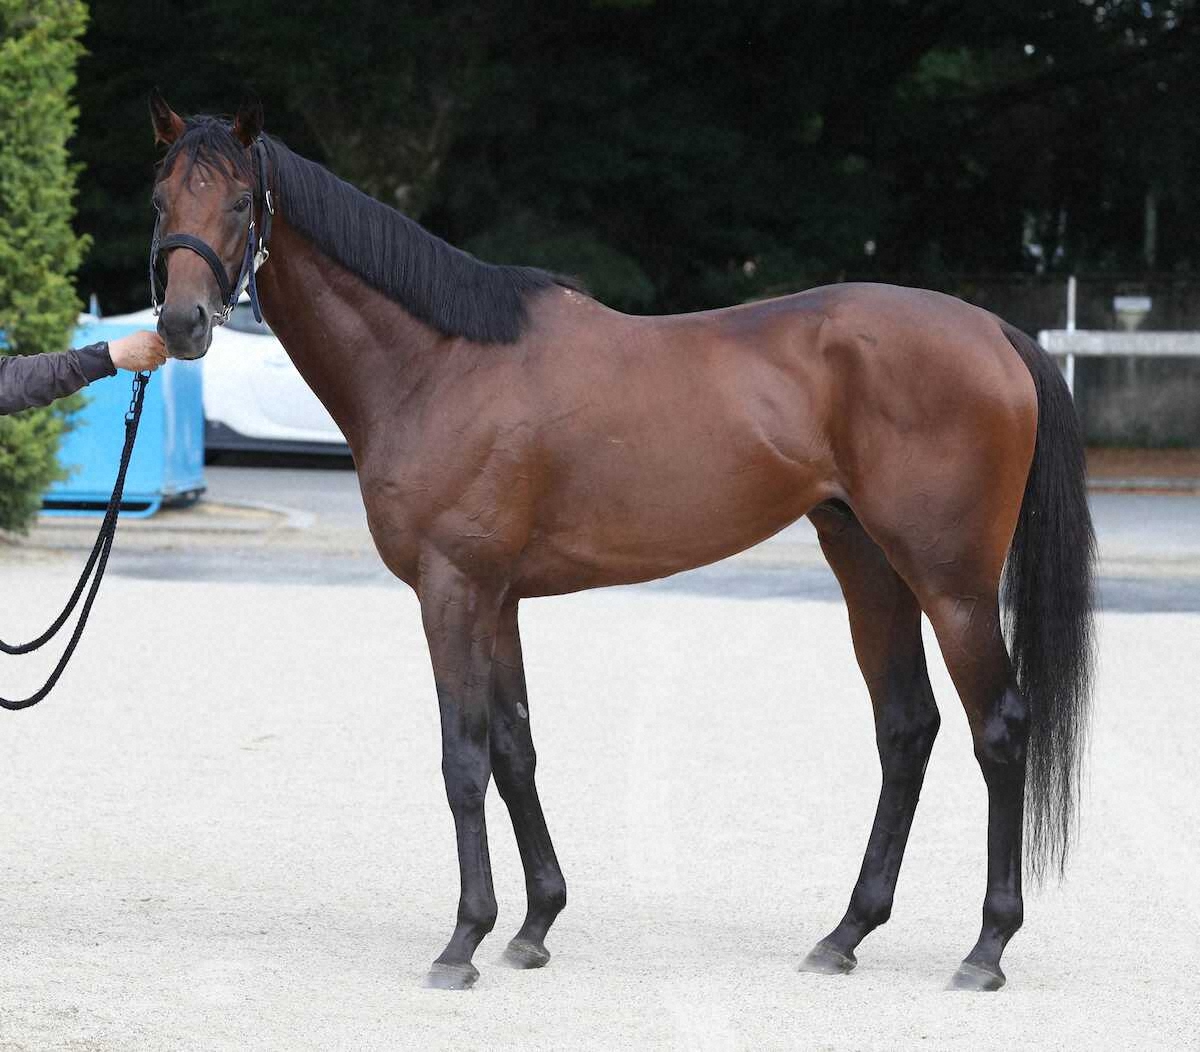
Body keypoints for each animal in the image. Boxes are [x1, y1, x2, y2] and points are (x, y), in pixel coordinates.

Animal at [146, 93, 1095, 992]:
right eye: (161, 199)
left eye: (240, 200)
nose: (183, 322)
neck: (438, 362)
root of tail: (993, 331)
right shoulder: (497, 598)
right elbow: (514, 748)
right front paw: (533, 925)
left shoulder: (452, 588)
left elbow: (463, 758)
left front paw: (463, 941)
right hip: (868, 564)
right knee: (906, 727)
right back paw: (844, 935)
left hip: (952, 584)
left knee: (998, 730)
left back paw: (986, 948)